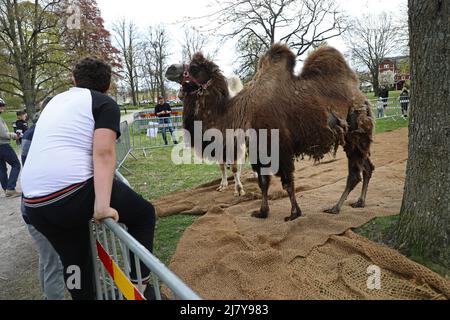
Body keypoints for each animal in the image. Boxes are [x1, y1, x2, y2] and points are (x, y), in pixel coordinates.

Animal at [167, 43, 374, 221]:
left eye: (194, 67)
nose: (170, 69)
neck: (239, 113)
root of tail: (361, 97)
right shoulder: (258, 149)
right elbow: (263, 182)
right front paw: (262, 212)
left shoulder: (279, 146)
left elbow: (287, 182)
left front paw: (294, 213)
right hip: (356, 139)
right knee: (368, 167)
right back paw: (360, 201)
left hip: (355, 134)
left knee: (355, 174)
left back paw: (336, 207)